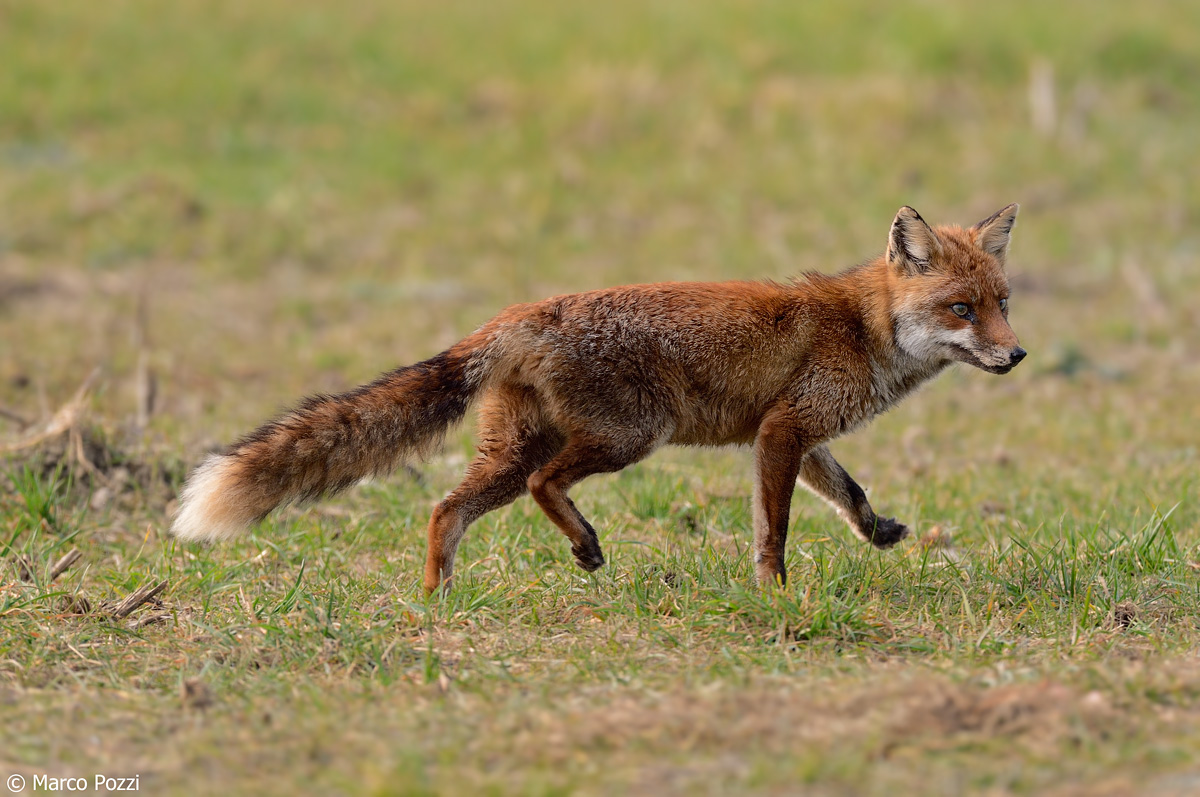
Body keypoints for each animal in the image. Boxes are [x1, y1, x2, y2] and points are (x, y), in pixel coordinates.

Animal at [172, 204, 1025, 593]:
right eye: (961, 309)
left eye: (1004, 302)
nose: (1016, 354)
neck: (864, 325)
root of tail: (517, 314)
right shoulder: (782, 431)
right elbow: (774, 530)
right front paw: (776, 593)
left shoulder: (788, 432)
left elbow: (850, 492)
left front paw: (880, 531)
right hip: (625, 437)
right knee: (544, 486)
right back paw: (579, 544)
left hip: (513, 451)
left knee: (445, 509)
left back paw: (437, 600)